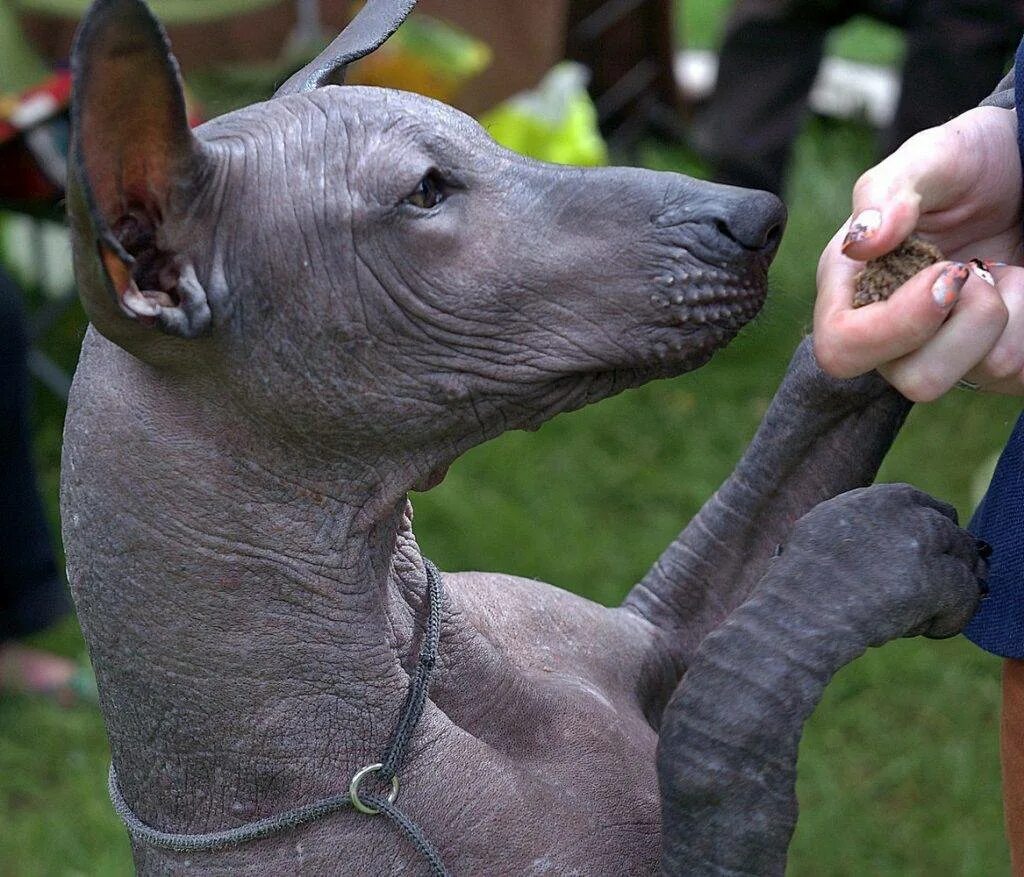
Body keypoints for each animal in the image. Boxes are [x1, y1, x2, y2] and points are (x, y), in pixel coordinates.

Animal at [61, 1, 983, 877]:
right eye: (425, 191)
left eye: (480, 137)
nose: (759, 215)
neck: (411, 703)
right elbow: (719, 722)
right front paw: (870, 550)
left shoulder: (664, 627)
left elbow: (796, 429)